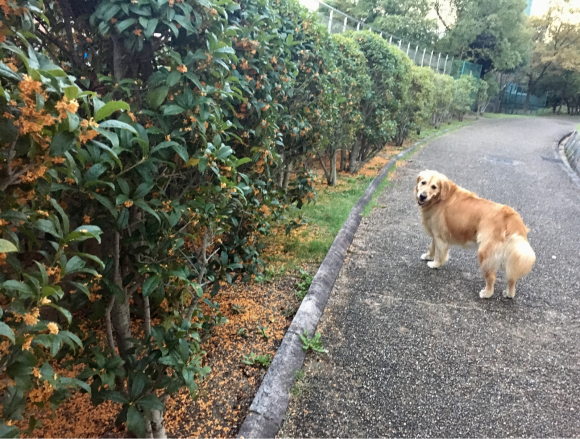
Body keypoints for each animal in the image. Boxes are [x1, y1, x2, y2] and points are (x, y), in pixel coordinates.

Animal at [416, 169, 536, 300]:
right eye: (423, 182)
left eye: (434, 187)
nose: (422, 196)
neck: (439, 199)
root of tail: (510, 216)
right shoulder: (436, 232)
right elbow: (432, 247)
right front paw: (428, 256)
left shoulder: (440, 236)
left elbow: (439, 253)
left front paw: (435, 264)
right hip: (512, 255)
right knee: (512, 277)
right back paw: (509, 293)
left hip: (485, 253)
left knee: (491, 277)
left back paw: (487, 293)